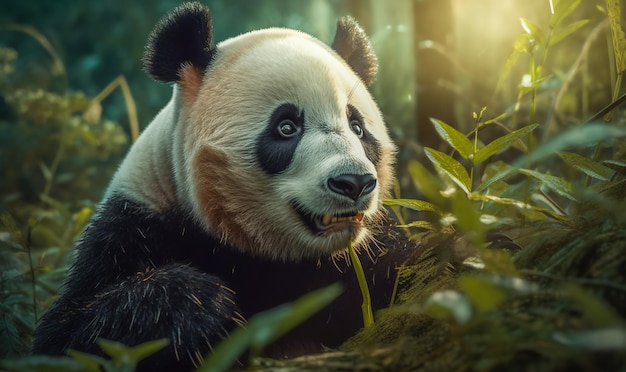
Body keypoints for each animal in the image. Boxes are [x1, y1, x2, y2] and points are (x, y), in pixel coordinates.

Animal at [33, 2, 414, 370]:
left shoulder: (345, 265)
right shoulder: (133, 226)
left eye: (357, 127)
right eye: (286, 127)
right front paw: (198, 307)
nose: (354, 182)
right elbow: (68, 334)